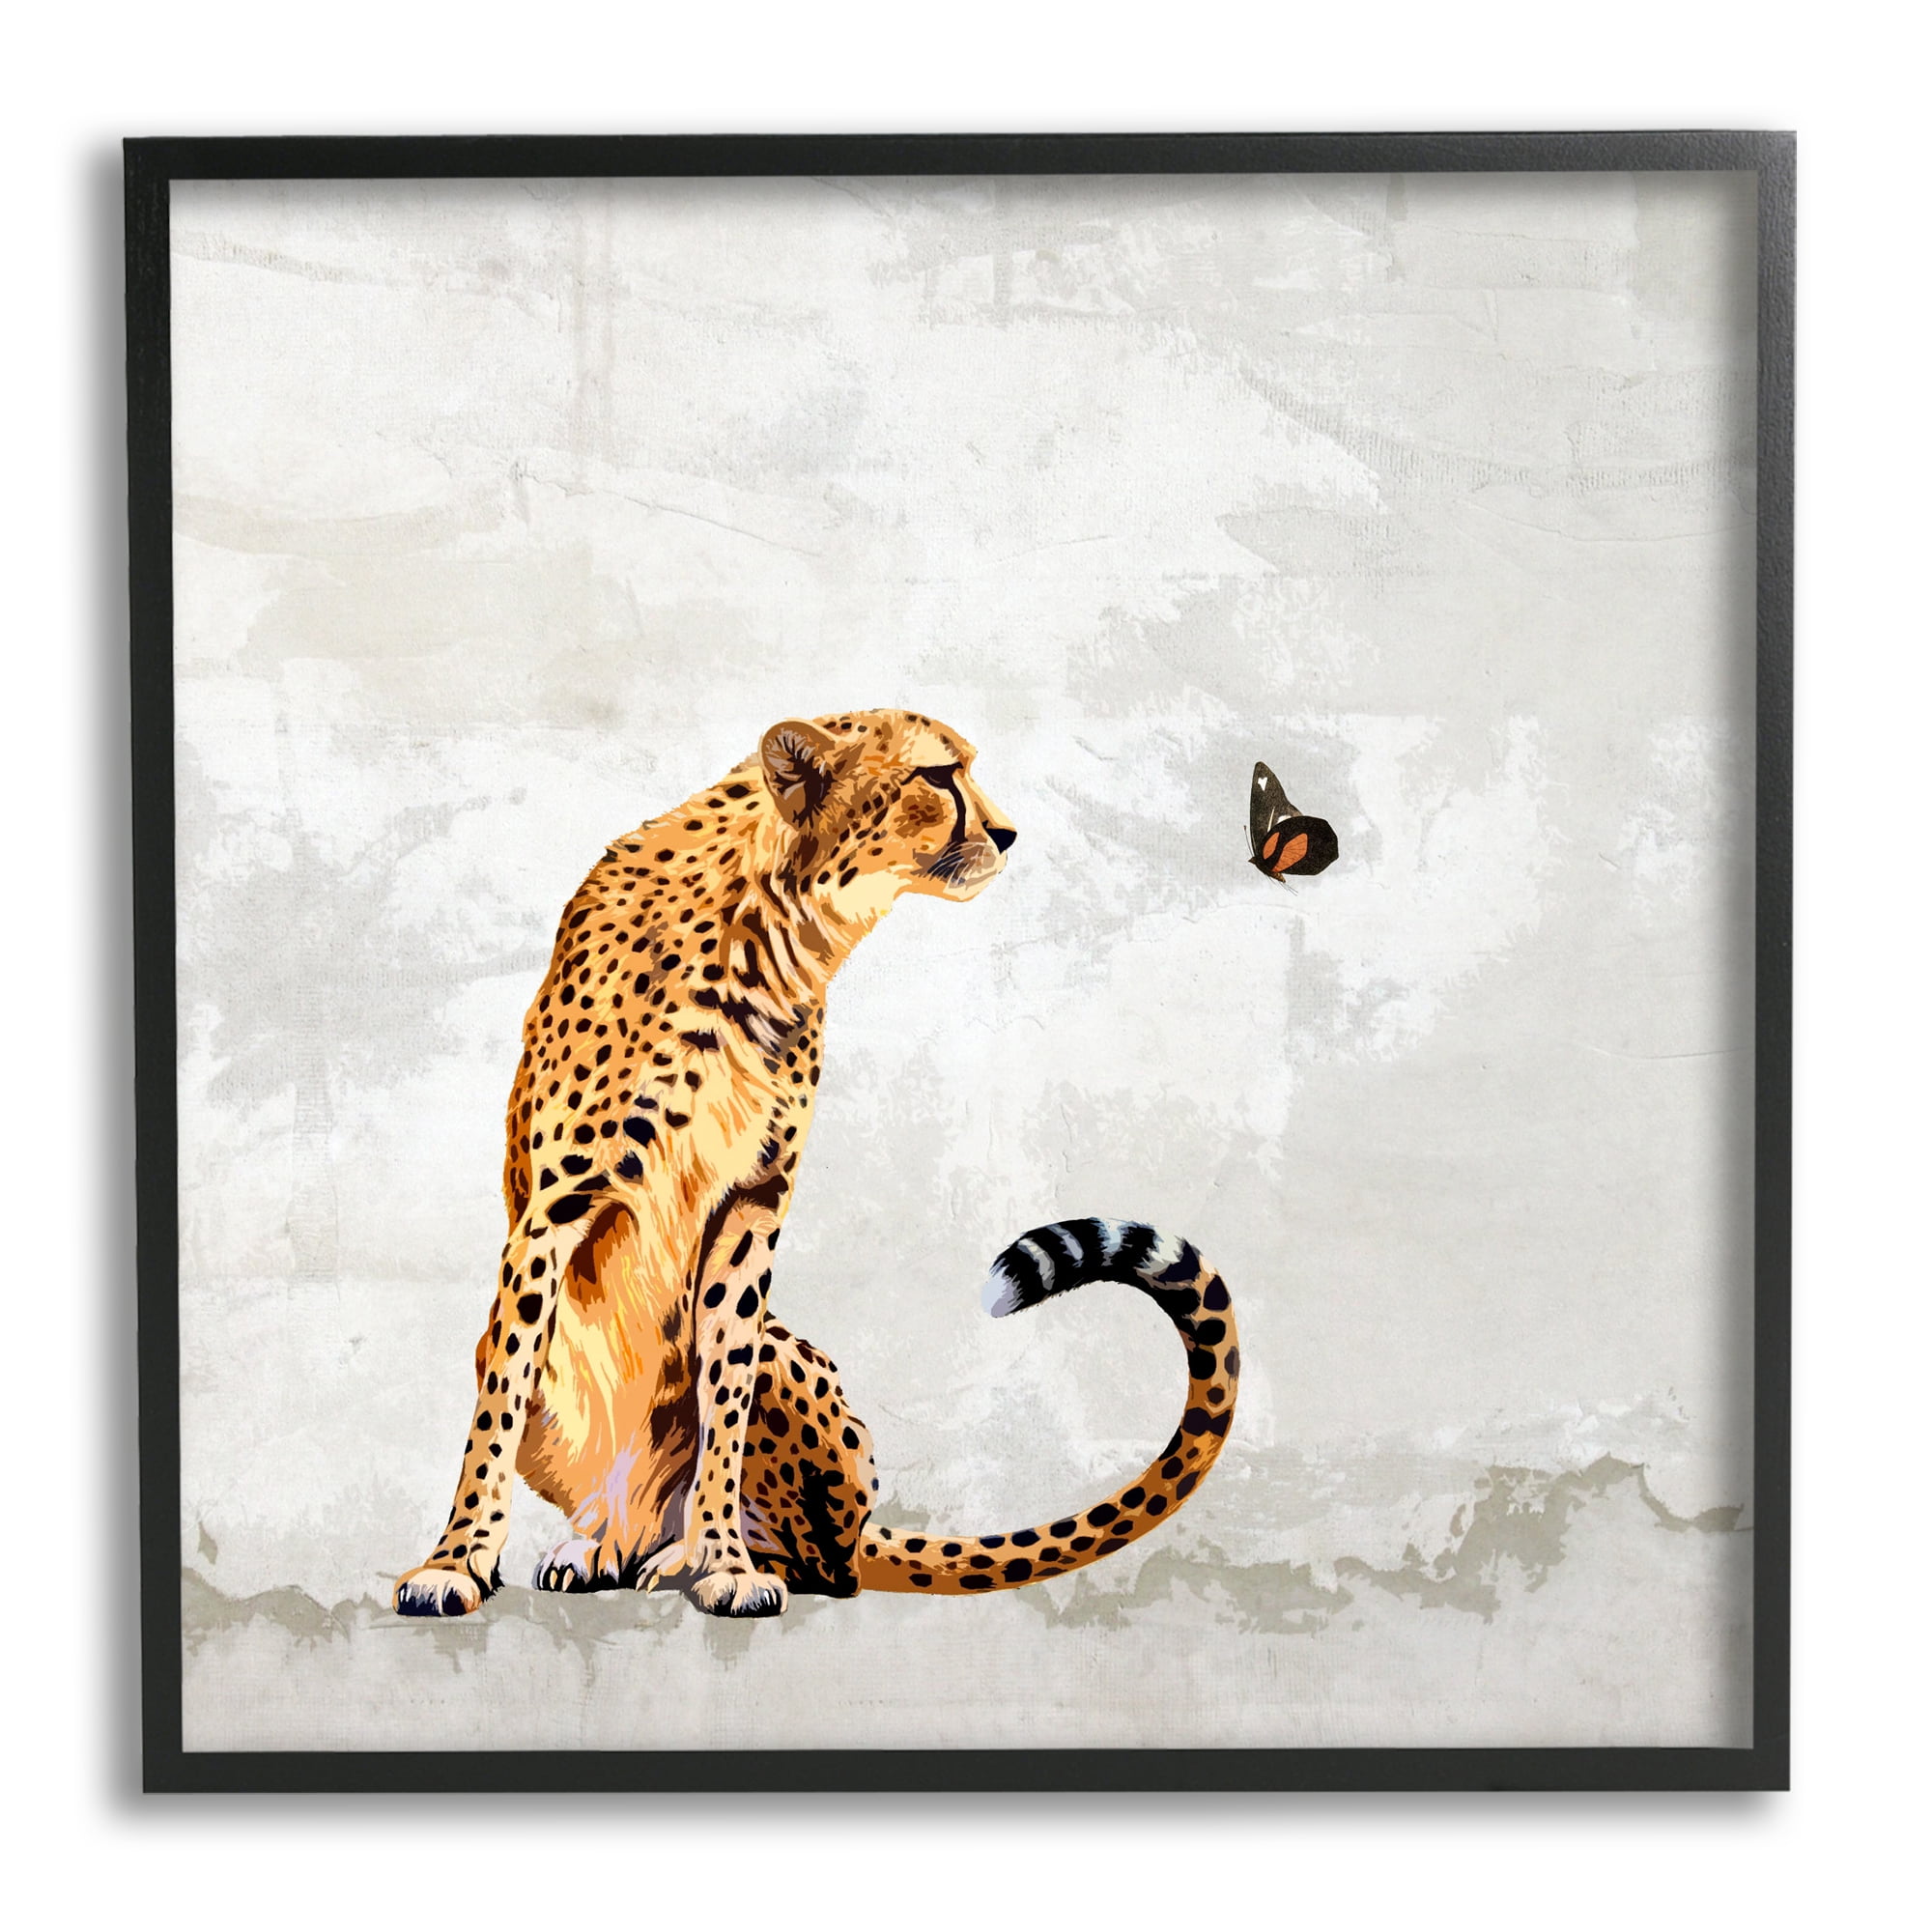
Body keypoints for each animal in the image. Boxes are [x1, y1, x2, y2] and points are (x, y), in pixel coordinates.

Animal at [394, 708, 1239, 1619]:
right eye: (939, 775)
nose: (1010, 834)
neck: (770, 930)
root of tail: (867, 1523)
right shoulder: (555, 1211)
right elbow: (499, 1402)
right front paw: (455, 1560)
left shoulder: (753, 1204)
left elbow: (724, 1392)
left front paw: (724, 1561)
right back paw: (602, 1548)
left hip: (797, 1381)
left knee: (826, 1563)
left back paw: (683, 1555)